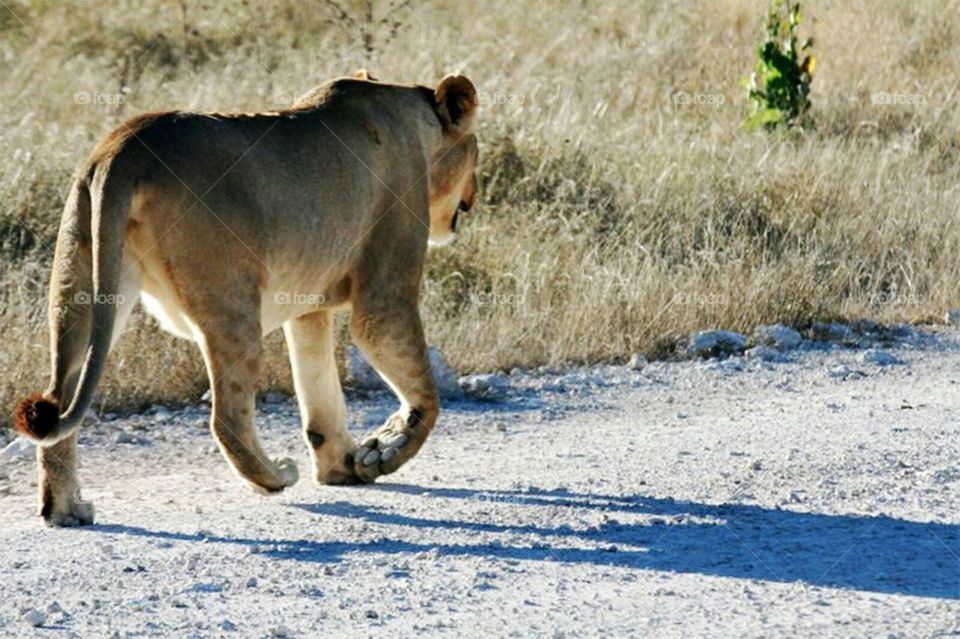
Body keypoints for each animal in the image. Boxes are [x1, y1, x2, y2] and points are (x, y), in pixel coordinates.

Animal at [13, 70, 479, 526]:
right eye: (475, 153)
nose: (473, 198)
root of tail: (123, 147)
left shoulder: (309, 307)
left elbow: (320, 392)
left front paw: (340, 467)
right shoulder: (385, 294)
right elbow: (423, 394)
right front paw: (385, 449)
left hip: (79, 288)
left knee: (60, 397)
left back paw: (66, 511)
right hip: (233, 304)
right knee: (228, 419)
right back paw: (275, 477)